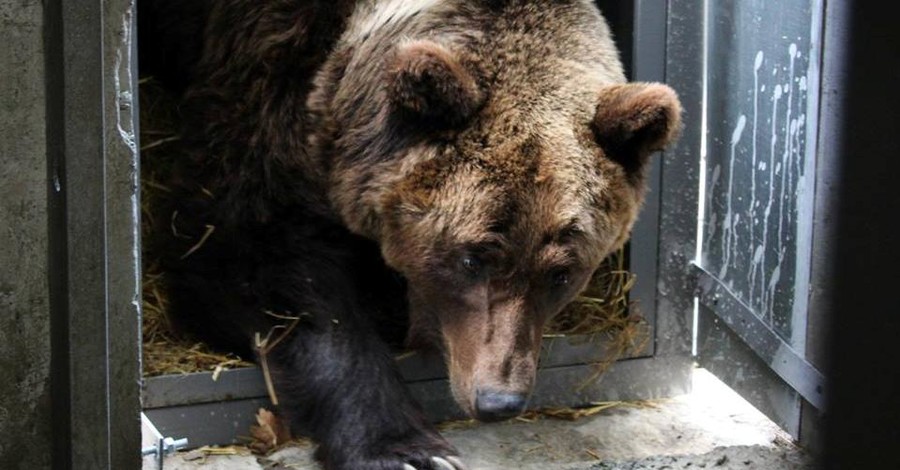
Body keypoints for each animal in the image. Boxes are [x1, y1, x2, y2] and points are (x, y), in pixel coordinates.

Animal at [137, 0, 680, 470]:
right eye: (472, 258)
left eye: (561, 274)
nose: (499, 399)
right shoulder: (269, 87)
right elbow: (251, 258)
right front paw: (405, 450)